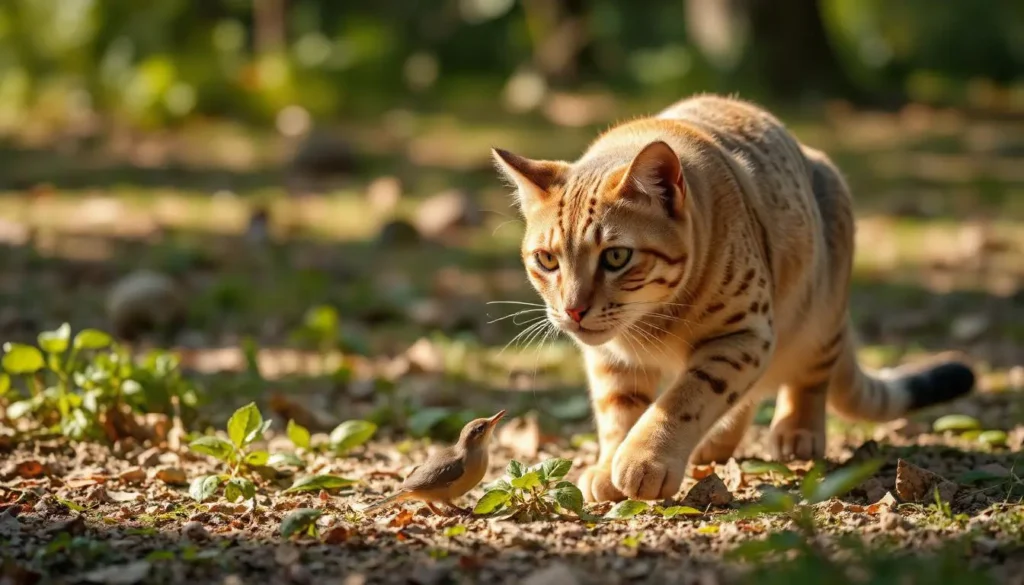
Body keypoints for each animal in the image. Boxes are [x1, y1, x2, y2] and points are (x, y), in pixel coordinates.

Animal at [493, 93, 974, 502]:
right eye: (547, 260)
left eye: (615, 256)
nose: (573, 309)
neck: (648, 326)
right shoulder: (613, 358)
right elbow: (619, 412)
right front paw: (610, 463)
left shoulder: (743, 333)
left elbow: (684, 398)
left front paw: (644, 458)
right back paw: (717, 442)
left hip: (817, 314)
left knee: (806, 377)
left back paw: (797, 431)